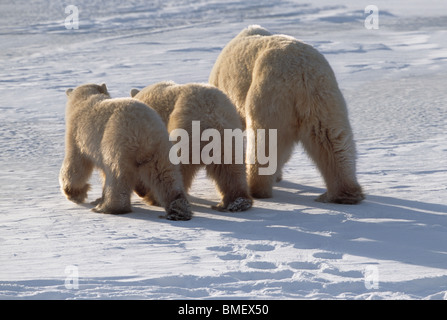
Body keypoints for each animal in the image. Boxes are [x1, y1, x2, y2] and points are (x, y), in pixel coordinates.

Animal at [210, 26, 364, 204]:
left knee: (264, 139)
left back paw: (256, 188)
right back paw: (346, 192)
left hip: (270, 92)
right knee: (332, 138)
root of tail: (302, 71)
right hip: (324, 95)